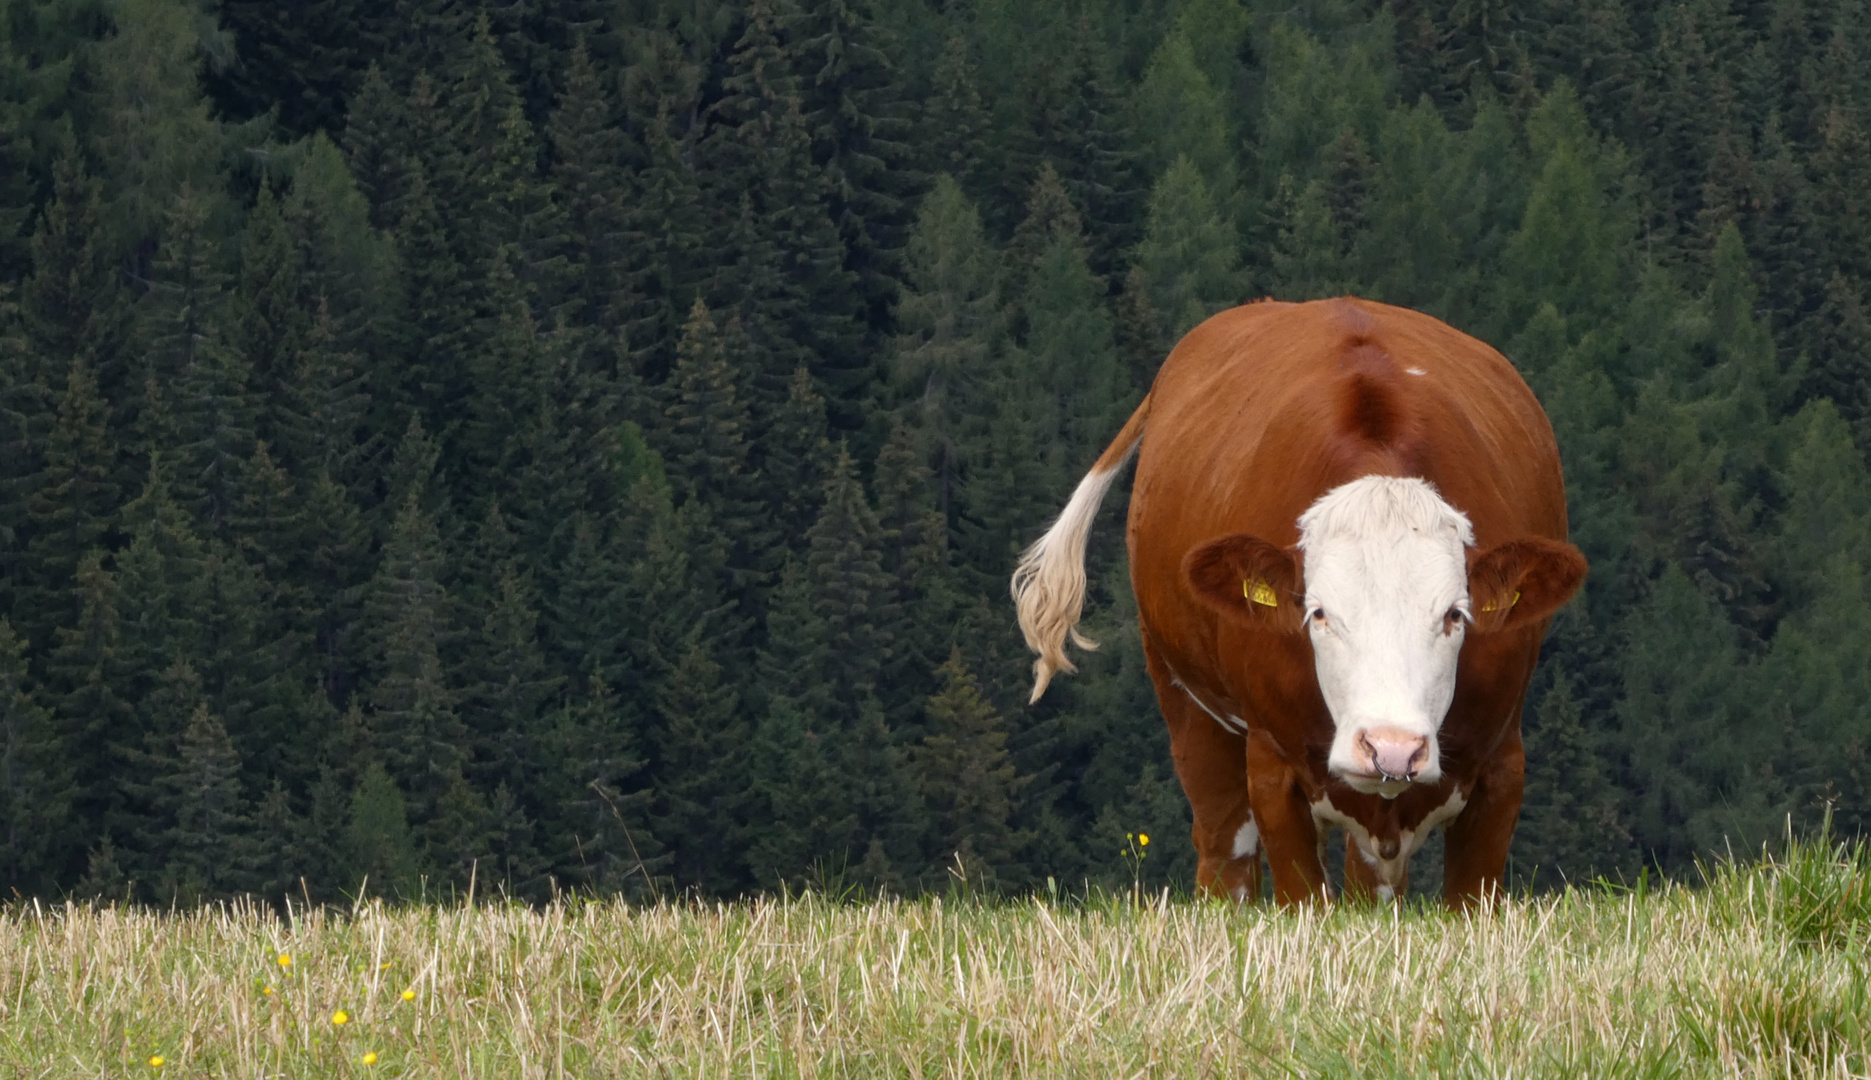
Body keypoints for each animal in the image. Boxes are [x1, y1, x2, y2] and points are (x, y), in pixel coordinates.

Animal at [1017, 291, 1586, 902]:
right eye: (1319, 613)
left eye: (1455, 615)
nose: (1391, 747)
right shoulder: (1271, 767)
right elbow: (1300, 896)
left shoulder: (1502, 765)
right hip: (1180, 692)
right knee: (1224, 843)